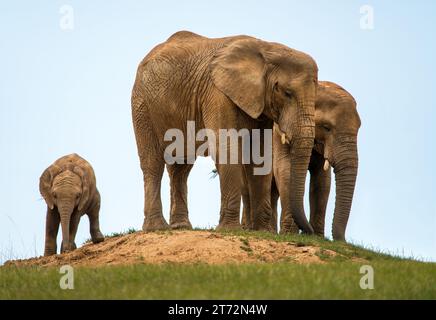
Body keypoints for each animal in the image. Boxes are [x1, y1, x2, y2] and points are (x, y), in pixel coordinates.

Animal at [131, 30, 318, 232]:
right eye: (286, 93)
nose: (310, 233)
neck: (267, 49)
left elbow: (259, 154)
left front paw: (261, 231)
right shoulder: (217, 93)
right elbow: (227, 147)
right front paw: (230, 229)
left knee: (181, 166)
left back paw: (180, 227)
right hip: (142, 104)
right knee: (153, 162)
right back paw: (156, 228)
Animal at [242, 80, 362, 240]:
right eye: (326, 127)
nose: (341, 240)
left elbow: (322, 182)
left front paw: (318, 237)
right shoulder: (278, 132)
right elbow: (285, 170)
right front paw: (290, 234)